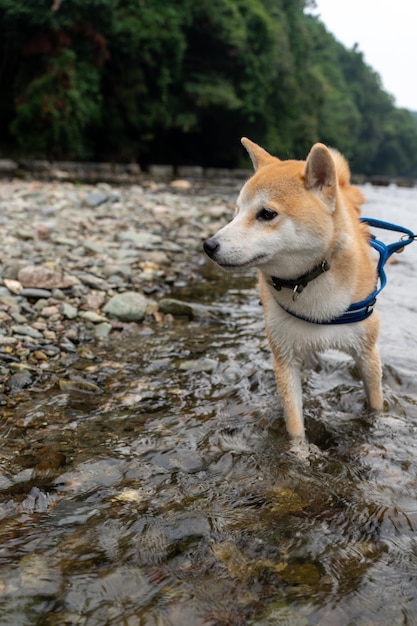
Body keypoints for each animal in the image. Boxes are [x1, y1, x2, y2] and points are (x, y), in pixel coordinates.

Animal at [203, 138, 382, 438]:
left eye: (267, 214)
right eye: (236, 212)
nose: (209, 245)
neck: (310, 280)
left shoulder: (367, 353)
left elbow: (376, 405)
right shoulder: (284, 358)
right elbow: (295, 425)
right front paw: (299, 450)